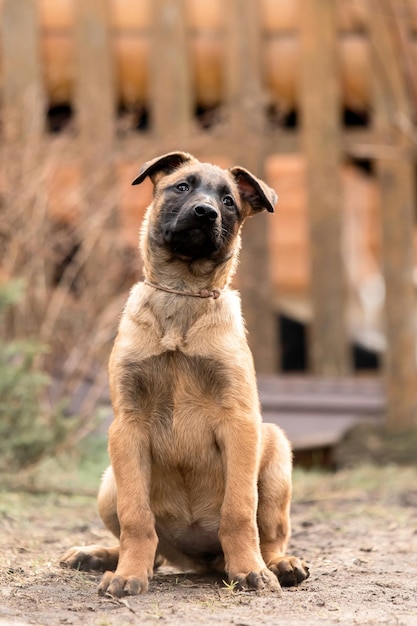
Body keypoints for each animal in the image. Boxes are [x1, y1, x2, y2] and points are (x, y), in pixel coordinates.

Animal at [61, 151, 308, 596]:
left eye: (228, 201)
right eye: (182, 187)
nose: (205, 212)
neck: (183, 294)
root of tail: (200, 558)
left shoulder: (240, 423)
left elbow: (239, 511)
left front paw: (250, 570)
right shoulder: (128, 427)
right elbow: (137, 518)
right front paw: (128, 575)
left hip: (276, 455)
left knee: (270, 534)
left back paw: (278, 564)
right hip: (109, 483)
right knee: (152, 547)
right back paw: (100, 556)